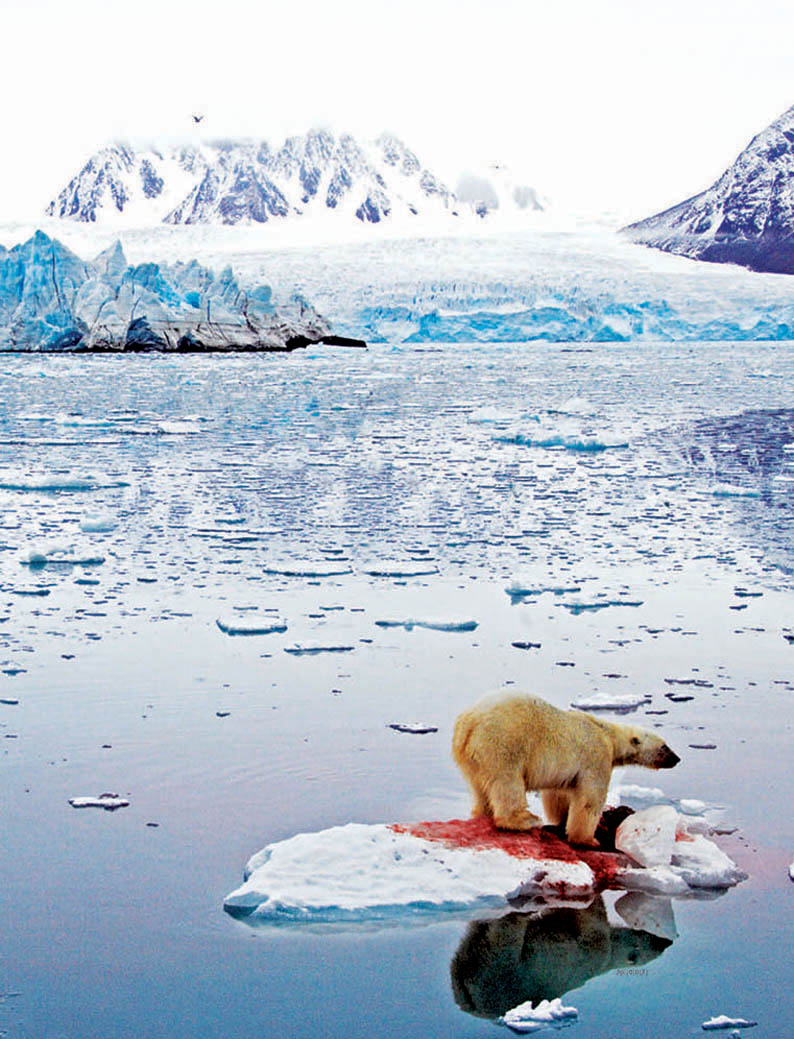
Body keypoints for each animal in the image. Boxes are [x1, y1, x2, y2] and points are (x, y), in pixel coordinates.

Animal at [448, 689, 677, 843]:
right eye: (664, 747)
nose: (677, 759)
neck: (608, 734)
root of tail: (468, 722)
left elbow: (558, 793)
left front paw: (562, 819)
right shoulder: (597, 757)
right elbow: (589, 799)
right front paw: (588, 839)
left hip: (472, 757)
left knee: (480, 787)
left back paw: (483, 813)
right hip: (503, 743)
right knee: (507, 782)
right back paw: (524, 820)